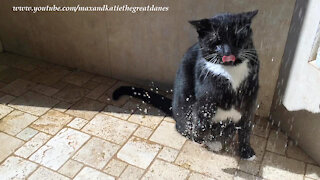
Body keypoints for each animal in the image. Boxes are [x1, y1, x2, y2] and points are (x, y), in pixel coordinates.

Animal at [112, 10, 260, 159]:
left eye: (237, 39)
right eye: (216, 42)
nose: (228, 52)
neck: (231, 71)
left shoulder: (250, 98)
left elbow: (246, 128)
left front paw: (246, 151)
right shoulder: (206, 92)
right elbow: (202, 118)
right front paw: (207, 138)